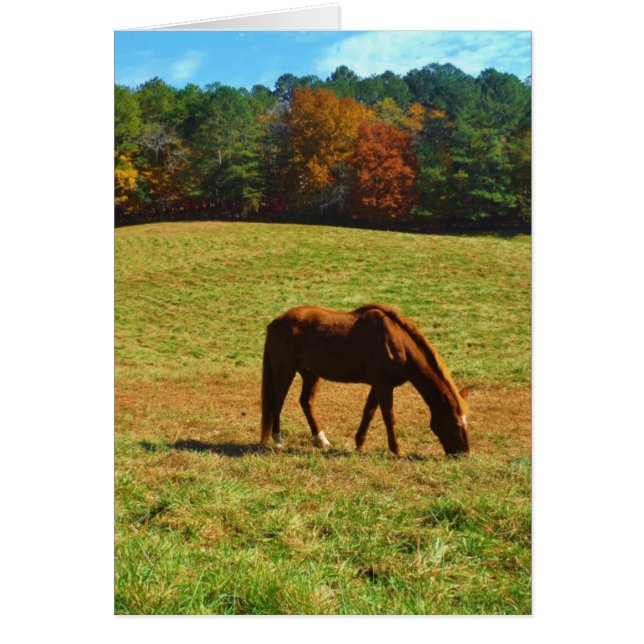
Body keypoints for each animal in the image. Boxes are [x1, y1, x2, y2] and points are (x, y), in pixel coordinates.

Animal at [259, 304, 470, 457]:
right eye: (455, 423)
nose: (463, 454)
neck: (396, 341)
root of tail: (274, 323)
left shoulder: (378, 385)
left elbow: (368, 412)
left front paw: (360, 444)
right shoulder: (383, 386)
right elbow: (389, 417)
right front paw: (397, 450)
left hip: (311, 374)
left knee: (306, 402)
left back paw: (321, 440)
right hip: (285, 372)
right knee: (277, 402)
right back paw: (278, 440)